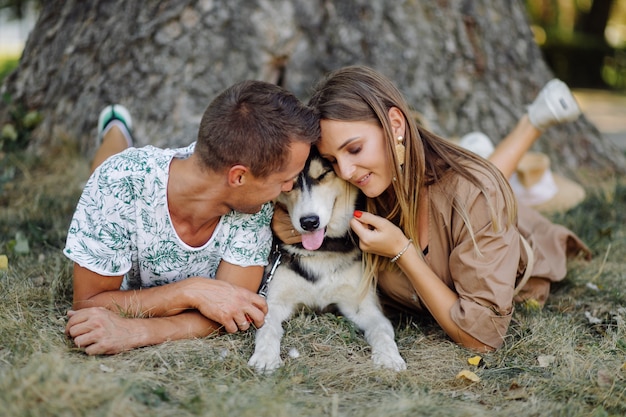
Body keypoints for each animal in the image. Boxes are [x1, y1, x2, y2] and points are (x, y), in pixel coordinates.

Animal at [249, 147, 404, 374]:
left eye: (323, 175)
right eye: (288, 183)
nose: (309, 222)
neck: (320, 252)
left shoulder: (361, 305)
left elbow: (382, 330)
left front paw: (389, 357)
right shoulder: (274, 300)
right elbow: (267, 327)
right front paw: (265, 357)